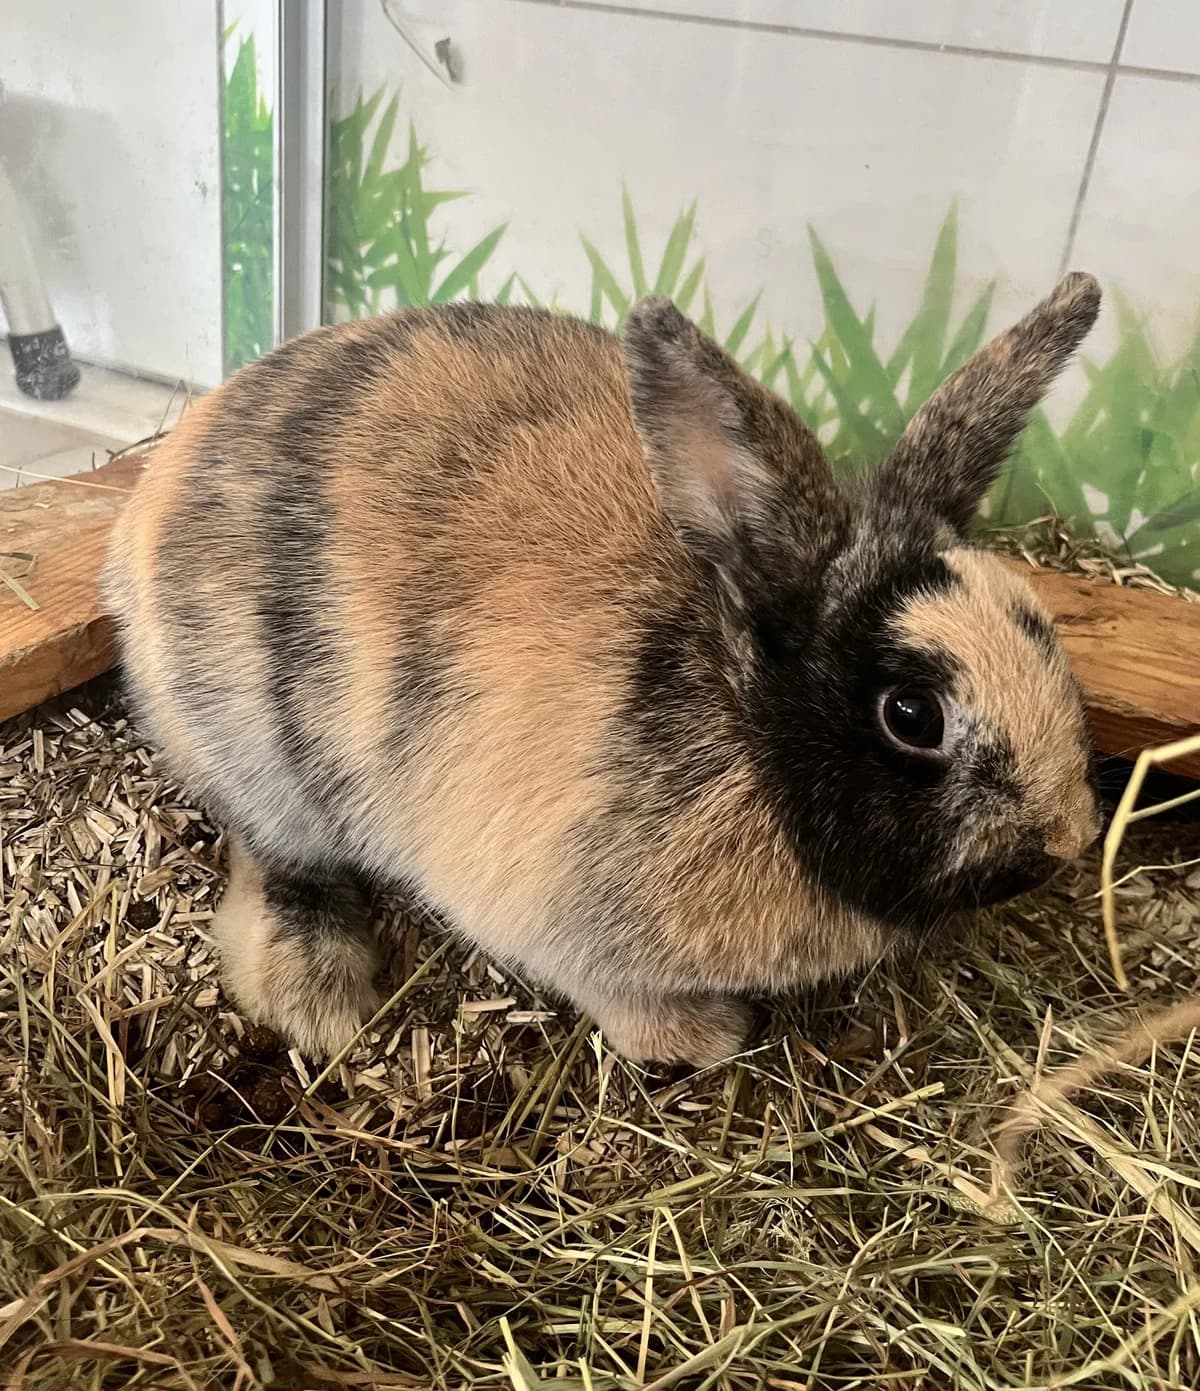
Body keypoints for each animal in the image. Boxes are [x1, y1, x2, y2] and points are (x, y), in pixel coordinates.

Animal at [103, 273, 1103, 1068]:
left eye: (1044, 633)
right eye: (911, 713)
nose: (1069, 839)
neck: (737, 713)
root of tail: (152, 494)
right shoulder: (557, 919)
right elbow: (614, 992)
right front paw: (706, 1037)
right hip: (259, 750)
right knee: (273, 854)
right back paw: (318, 995)